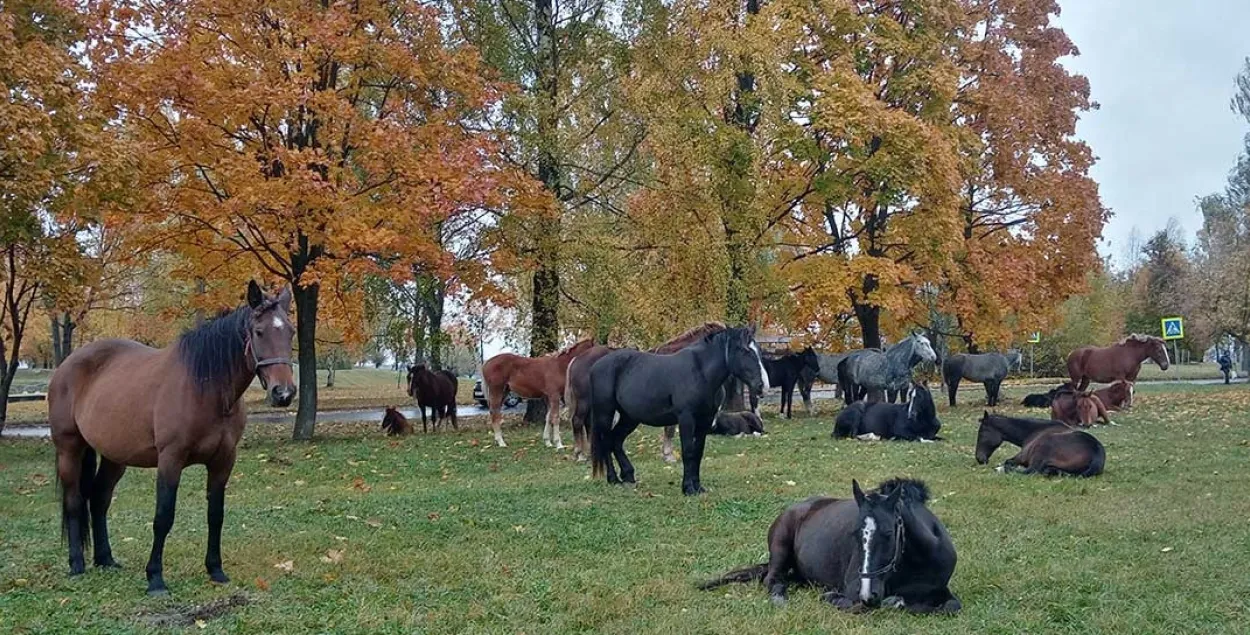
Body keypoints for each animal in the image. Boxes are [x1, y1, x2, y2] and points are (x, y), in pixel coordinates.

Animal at [47, 282, 296, 595]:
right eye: (259, 331)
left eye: (291, 331)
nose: (283, 393)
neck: (206, 388)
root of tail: (67, 364)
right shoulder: (170, 460)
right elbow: (163, 517)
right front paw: (155, 578)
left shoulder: (223, 461)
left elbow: (216, 515)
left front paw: (215, 569)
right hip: (69, 449)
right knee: (74, 501)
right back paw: (77, 564)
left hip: (116, 457)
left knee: (99, 499)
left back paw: (105, 559)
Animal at [587, 327, 770, 495]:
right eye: (744, 350)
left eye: (759, 351)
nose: (763, 386)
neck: (700, 372)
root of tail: (597, 365)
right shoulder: (686, 419)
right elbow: (688, 452)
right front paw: (688, 488)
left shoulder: (704, 421)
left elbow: (698, 452)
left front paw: (698, 487)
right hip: (605, 413)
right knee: (606, 441)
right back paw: (613, 479)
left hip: (629, 418)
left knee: (616, 441)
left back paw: (628, 476)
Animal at [705, 477, 955, 612]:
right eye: (854, 533)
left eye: (888, 533)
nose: (867, 593)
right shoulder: (854, 589)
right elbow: (856, 604)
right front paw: (832, 597)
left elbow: (951, 607)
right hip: (780, 548)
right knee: (772, 579)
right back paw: (780, 598)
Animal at [975, 412, 1105, 475]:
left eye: (981, 432)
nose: (979, 459)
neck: (1035, 431)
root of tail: (1096, 452)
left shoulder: (1021, 457)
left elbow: (1008, 462)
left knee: (1031, 471)